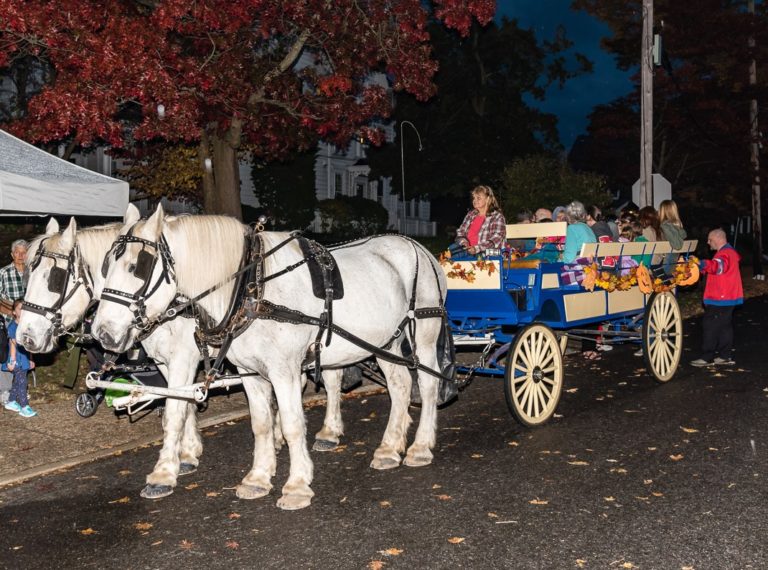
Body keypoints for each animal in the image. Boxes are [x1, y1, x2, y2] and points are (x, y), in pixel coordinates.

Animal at [16, 211, 346, 500]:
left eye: (55, 278)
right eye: (27, 275)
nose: (25, 337)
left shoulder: (184, 358)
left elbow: (174, 411)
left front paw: (164, 473)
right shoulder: (166, 361)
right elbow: (182, 404)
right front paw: (187, 454)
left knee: (329, 381)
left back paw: (328, 433)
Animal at [92, 206, 448, 508]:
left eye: (137, 268)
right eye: (105, 267)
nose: (102, 333)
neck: (252, 288)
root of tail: (420, 248)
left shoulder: (281, 370)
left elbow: (291, 424)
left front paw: (297, 485)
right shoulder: (248, 372)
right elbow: (260, 423)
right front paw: (258, 478)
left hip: (424, 334)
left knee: (429, 385)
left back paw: (419, 447)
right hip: (386, 341)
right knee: (400, 385)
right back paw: (389, 448)